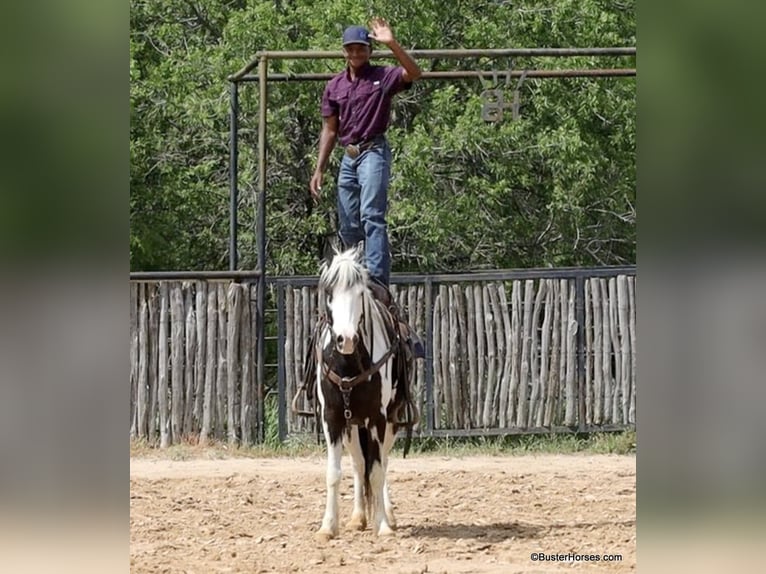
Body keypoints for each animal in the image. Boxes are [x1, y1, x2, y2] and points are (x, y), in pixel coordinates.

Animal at [313, 245, 412, 540]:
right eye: (329, 293)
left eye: (360, 293)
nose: (346, 339)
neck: (348, 363)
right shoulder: (332, 418)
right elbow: (334, 473)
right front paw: (327, 527)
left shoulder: (378, 419)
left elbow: (377, 470)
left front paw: (383, 525)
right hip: (352, 426)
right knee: (358, 463)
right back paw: (358, 517)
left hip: (389, 421)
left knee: (382, 462)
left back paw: (387, 515)